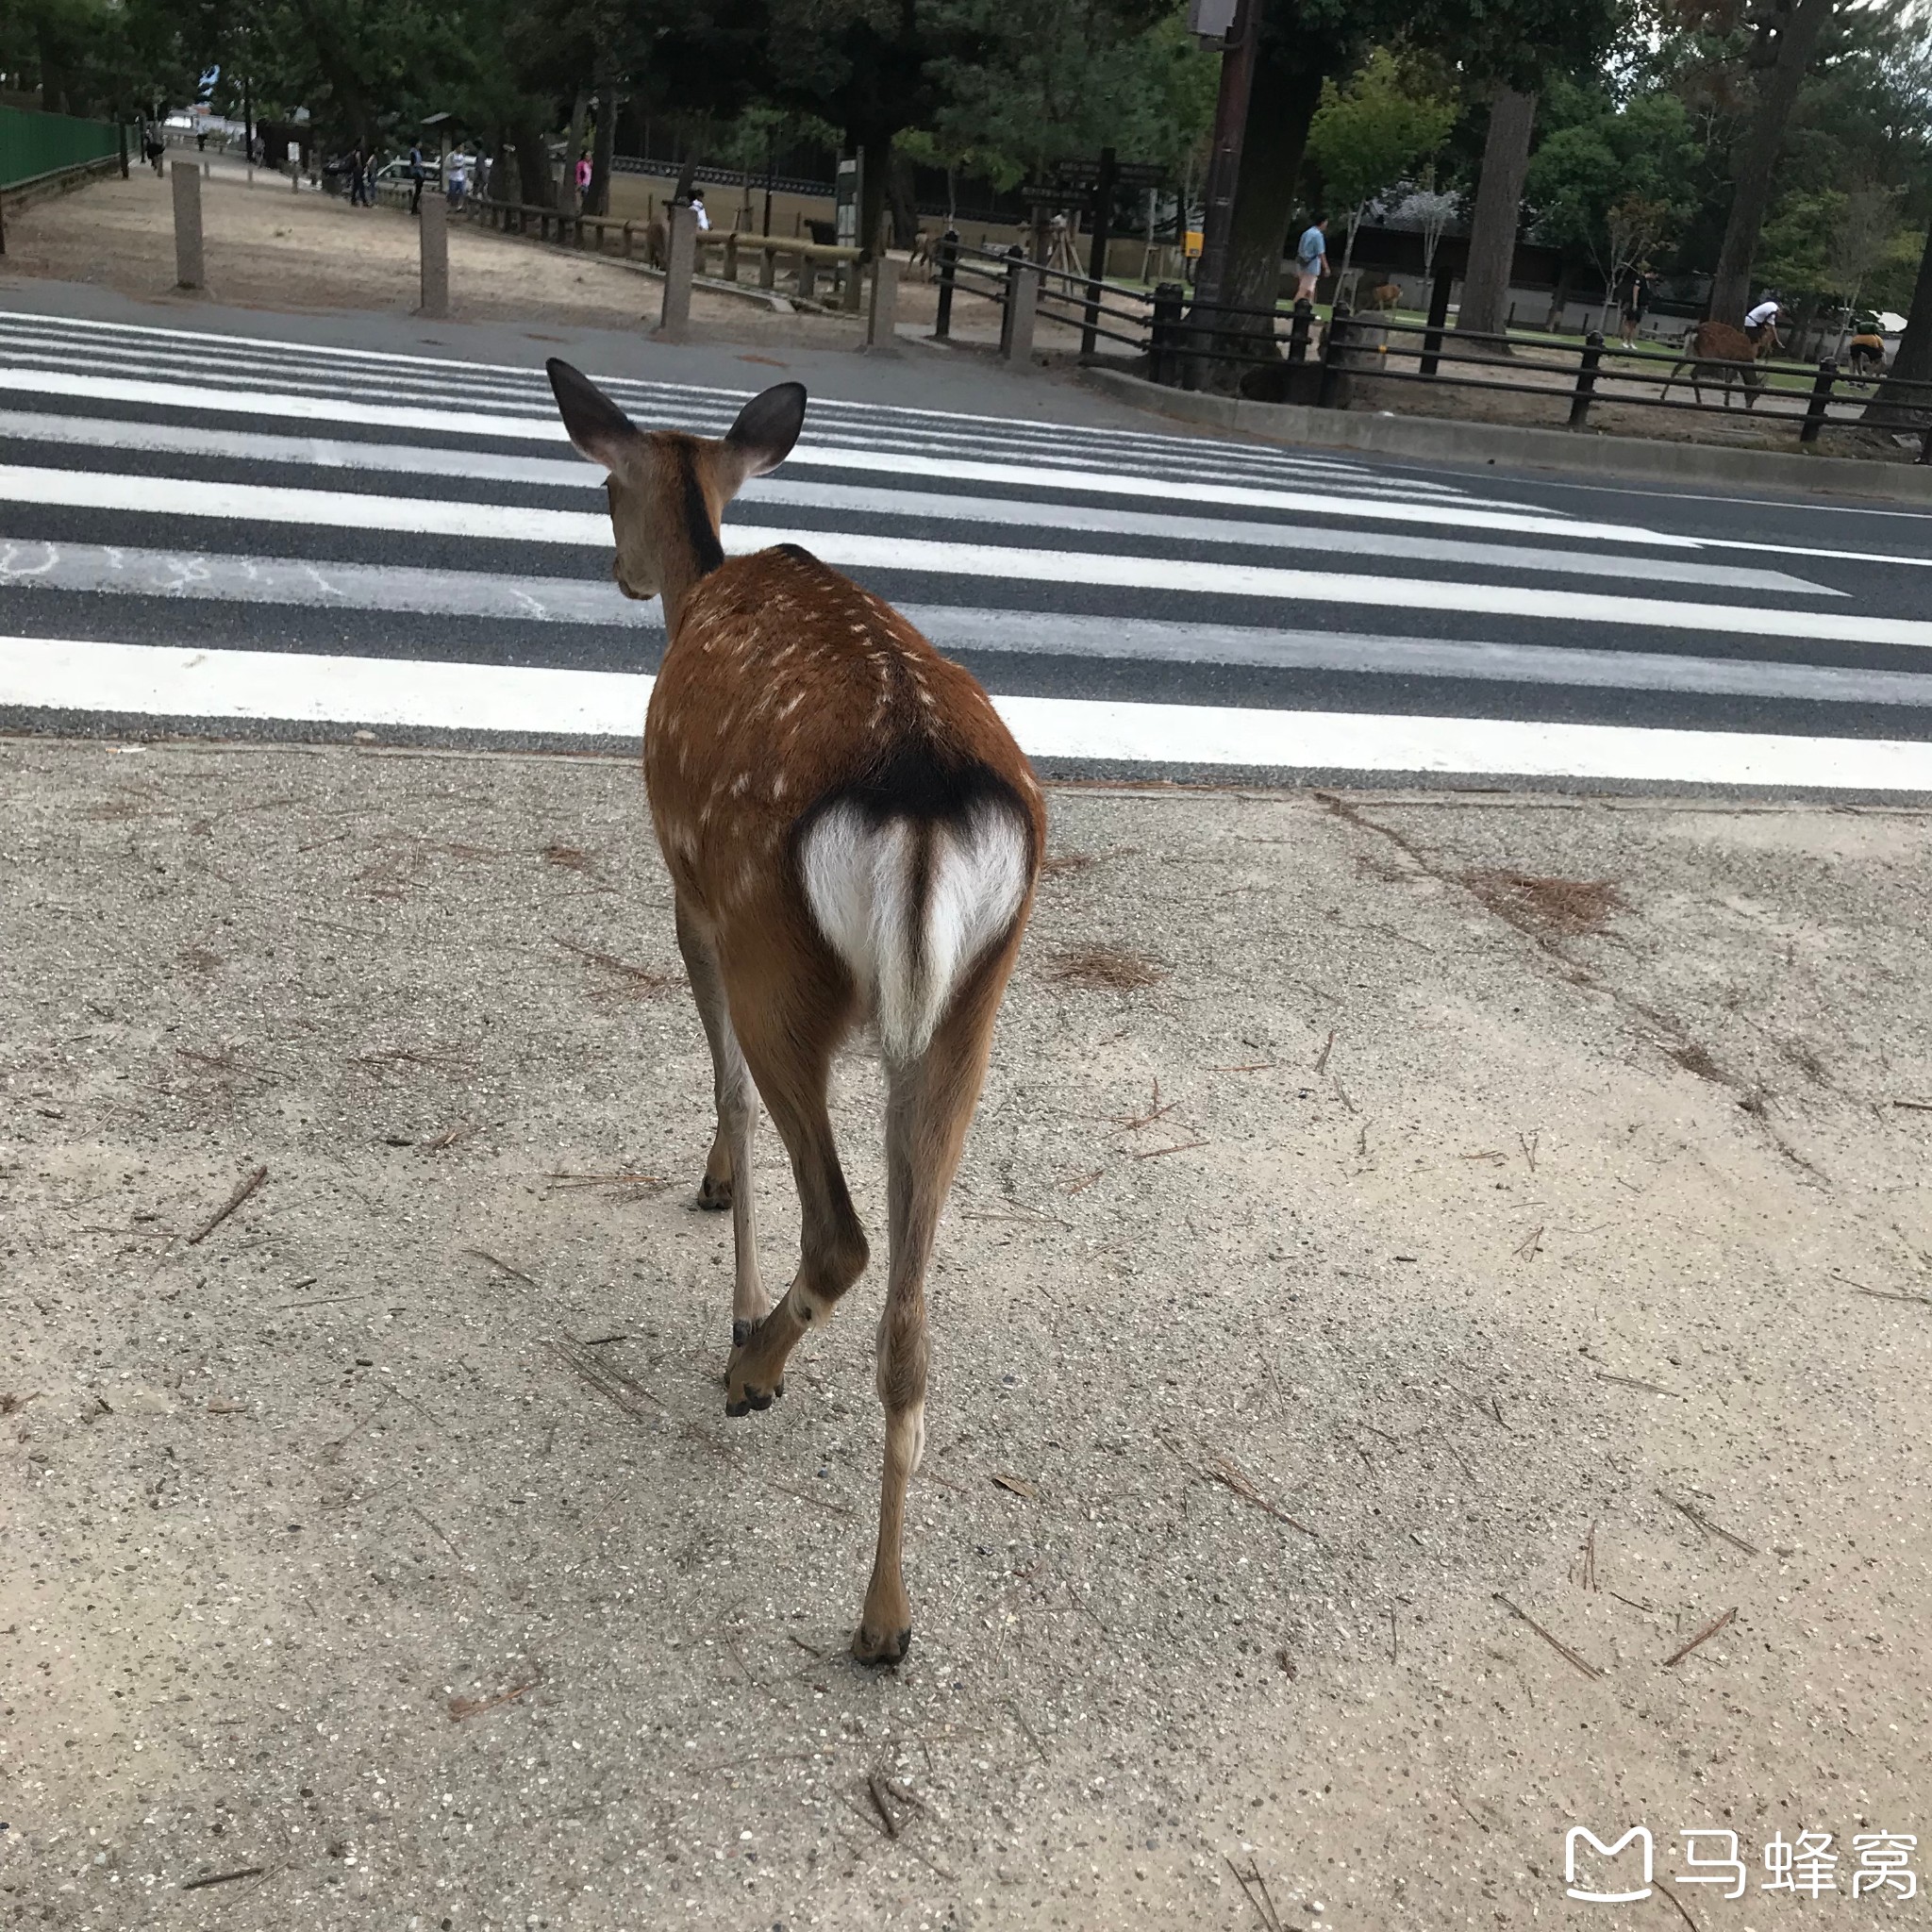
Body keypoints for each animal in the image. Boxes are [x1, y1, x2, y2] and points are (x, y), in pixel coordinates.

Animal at [544, 358, 1051, 1661]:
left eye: (602, 490)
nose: (616, 571)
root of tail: (922, 803)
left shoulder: (688, 891)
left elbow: (715, 1075)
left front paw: (717, 1198)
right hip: (969, 1013)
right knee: (912, 1313)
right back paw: (885, 1617)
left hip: (774, 945)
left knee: (843, 1228)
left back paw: (749, 1366)